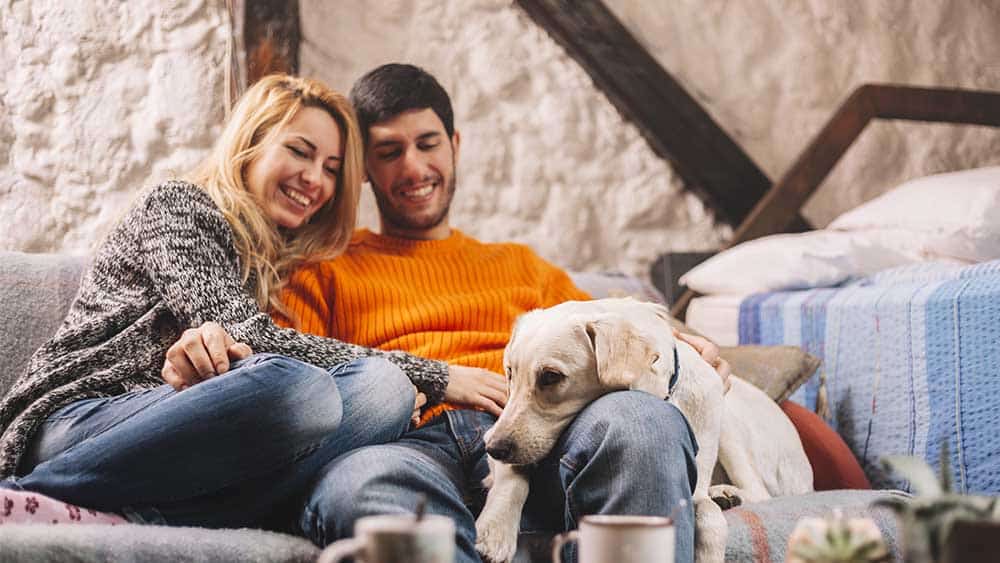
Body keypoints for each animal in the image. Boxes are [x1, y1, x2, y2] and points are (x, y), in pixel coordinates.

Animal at [470, 298, 812, 560]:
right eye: (509, 372)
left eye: (551, 376)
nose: (493, 448)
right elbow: (512, 477)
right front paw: (495, 529)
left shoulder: (698, 488)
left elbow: (712, 518)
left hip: (729, 424)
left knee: (759, 492)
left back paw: (728, 494)